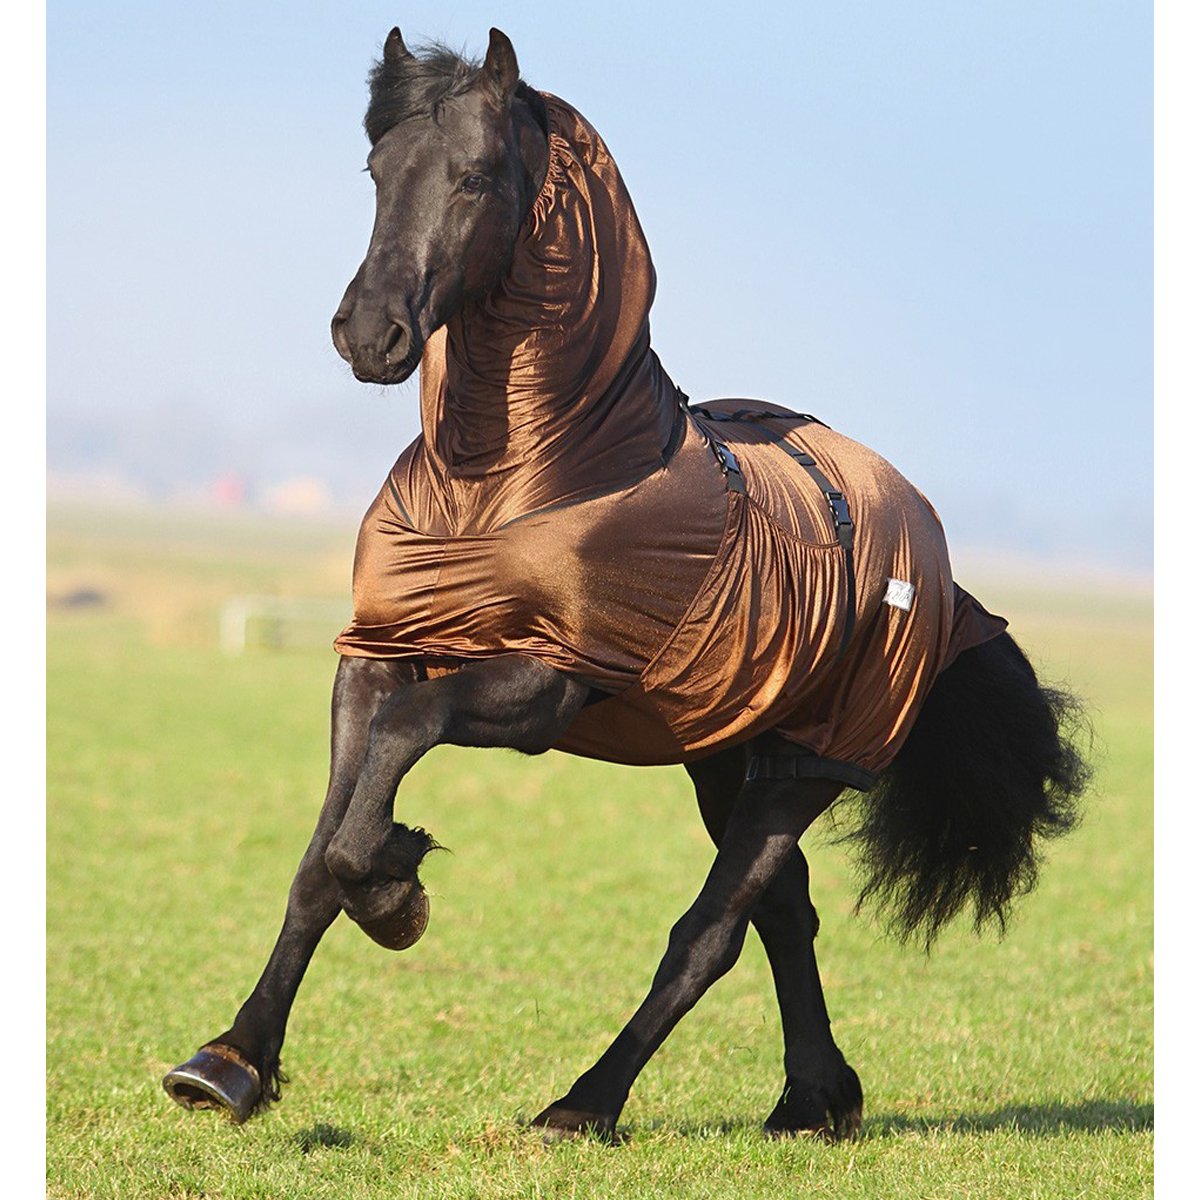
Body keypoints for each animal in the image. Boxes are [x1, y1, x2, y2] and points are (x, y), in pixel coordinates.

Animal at [162, 28, 1088, 1141]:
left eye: (477, 176)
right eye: (377, 171)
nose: (367, 335)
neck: (514, 477)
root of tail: (926, 539)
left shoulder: (549, 679)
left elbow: (395, 761)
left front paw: (394, 892)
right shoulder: (374, 658)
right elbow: (317, 858)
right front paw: (229, 1063)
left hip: (812, 764)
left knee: (714, 930)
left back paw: (586, 1103)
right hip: (727, 755)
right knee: (784, 912)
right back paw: (812, 1100)